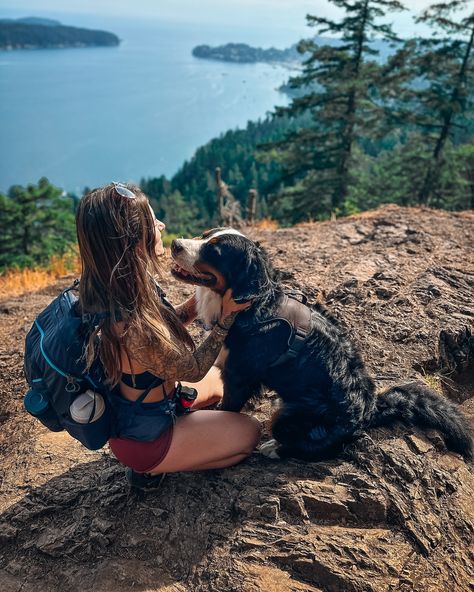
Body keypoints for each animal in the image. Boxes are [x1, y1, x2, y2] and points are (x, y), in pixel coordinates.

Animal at [170, 227, 474, 462]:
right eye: (205, 235)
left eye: (215, 251)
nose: (175, 244)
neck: (255, 305)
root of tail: (370, 410)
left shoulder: (239, 376)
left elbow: (228, 408)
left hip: (288, 418)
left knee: (314, 449)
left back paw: (274, 448)